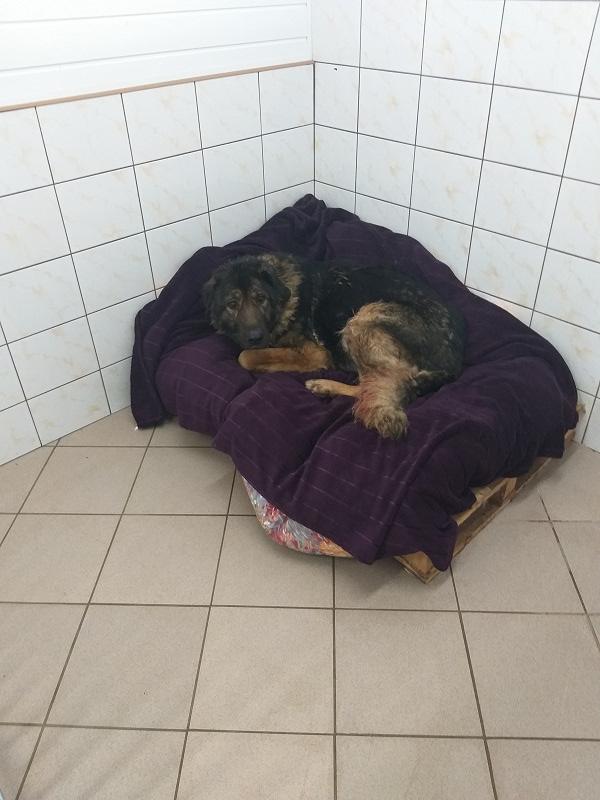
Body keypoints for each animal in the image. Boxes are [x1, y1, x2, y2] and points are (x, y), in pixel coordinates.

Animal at [202, 253, 465, 438]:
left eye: (260, 299)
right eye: (232, 304)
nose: (255, 337)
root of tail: (453, 363)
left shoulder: (316, 354)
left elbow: (245, 356)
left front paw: (264, 365)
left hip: (363, 319)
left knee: (382, 386)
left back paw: (323, 385)